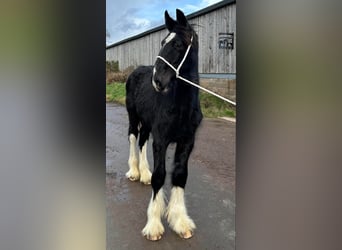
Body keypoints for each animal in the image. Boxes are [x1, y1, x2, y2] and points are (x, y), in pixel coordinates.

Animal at [124, 9, 202, 240]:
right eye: (162, 42)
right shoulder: (161, 139)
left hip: (147, 124)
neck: (181, 107)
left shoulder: (187, 142)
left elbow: (180, 175)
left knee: (142, 140)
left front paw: (180, 221)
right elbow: (160, 177)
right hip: (133, 116)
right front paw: (154, 225)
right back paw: (134, 172)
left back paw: (144, 174)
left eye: (178, 44)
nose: (157, 81)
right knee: (133, 137)